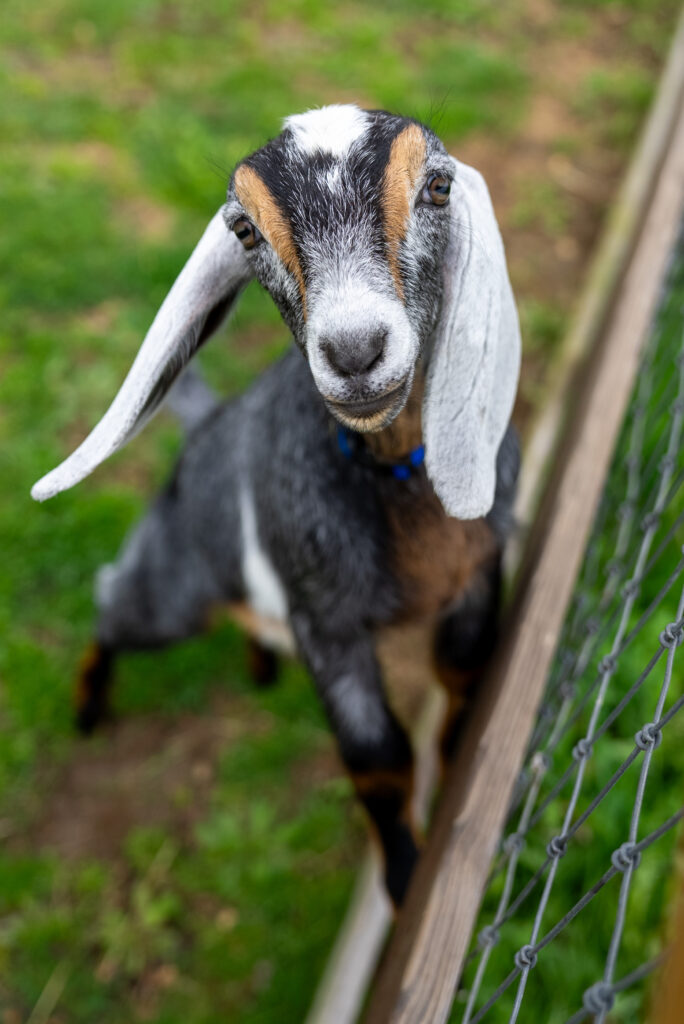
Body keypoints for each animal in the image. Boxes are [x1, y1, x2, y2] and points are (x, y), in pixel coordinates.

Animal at [32, 105, 521, 906]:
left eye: (439, 187)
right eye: (244, 230)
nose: (355, 351)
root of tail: (204, 424)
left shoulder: (477, 576)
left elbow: (462, 685)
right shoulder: (325, 622)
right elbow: (377, 757)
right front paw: (405, 880)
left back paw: (257, 659)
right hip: (174, 591)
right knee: (112, 605)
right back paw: (86, 704)